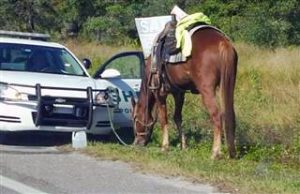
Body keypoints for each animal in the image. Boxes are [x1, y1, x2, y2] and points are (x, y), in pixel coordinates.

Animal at [131, 27, 237, 158]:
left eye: (135, 118)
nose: (136, 143)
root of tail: (223, 43)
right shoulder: (179, 93)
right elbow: (177, 117)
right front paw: (183, 146)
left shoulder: (159, 93)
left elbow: (163, 119)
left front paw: (165, 146)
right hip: (228, 85)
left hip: (207, 90)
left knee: (217, 116)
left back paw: (215, 152)